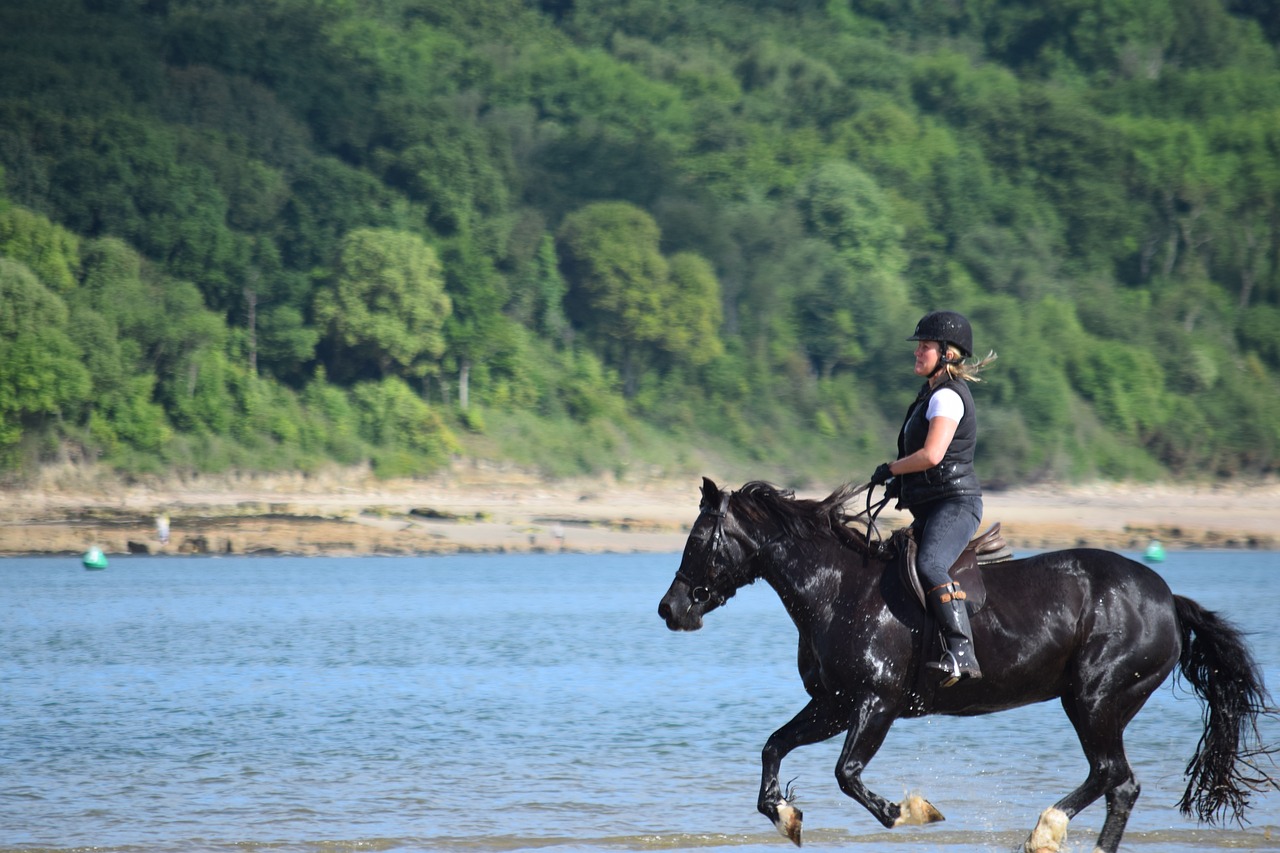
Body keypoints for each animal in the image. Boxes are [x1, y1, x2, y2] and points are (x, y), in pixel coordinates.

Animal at [655, 479, 1274, 850]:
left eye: (700, 537)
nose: (670, 609)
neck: (837, 590)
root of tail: (1167, 599)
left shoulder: (876, 702)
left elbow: (847, 774)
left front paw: (911, 810)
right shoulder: (833, 704)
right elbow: (773, 748)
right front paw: (785, 815)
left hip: (1095, 697)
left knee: (1110, 775)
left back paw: (1045, 831)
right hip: (1098, 703)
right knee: (1120, 784)